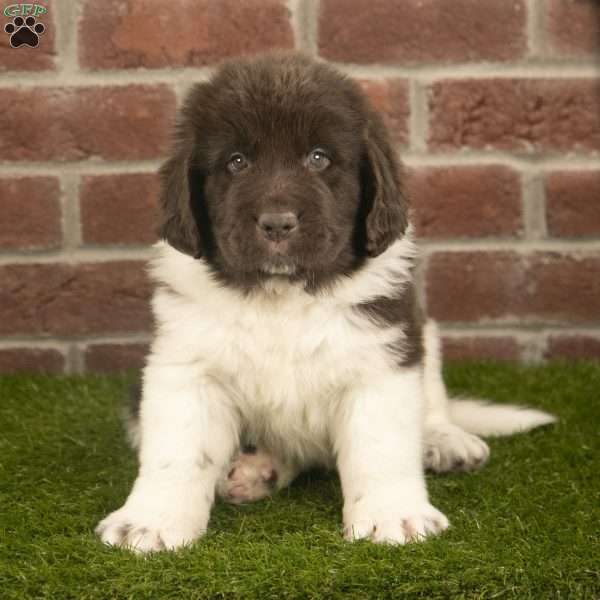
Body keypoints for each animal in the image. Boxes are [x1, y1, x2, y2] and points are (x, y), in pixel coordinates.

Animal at [96, 51, 556, 552]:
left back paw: (445, 439)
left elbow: (382, 447)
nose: (277, 223)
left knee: (432, 400)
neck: (283, 294)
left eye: (319, 158)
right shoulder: (185, 366)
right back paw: (256, 468)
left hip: (425, 333)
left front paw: (392, 516)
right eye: (236, 162)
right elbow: (177, 454)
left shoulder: (383, 356)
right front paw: (149, 522)